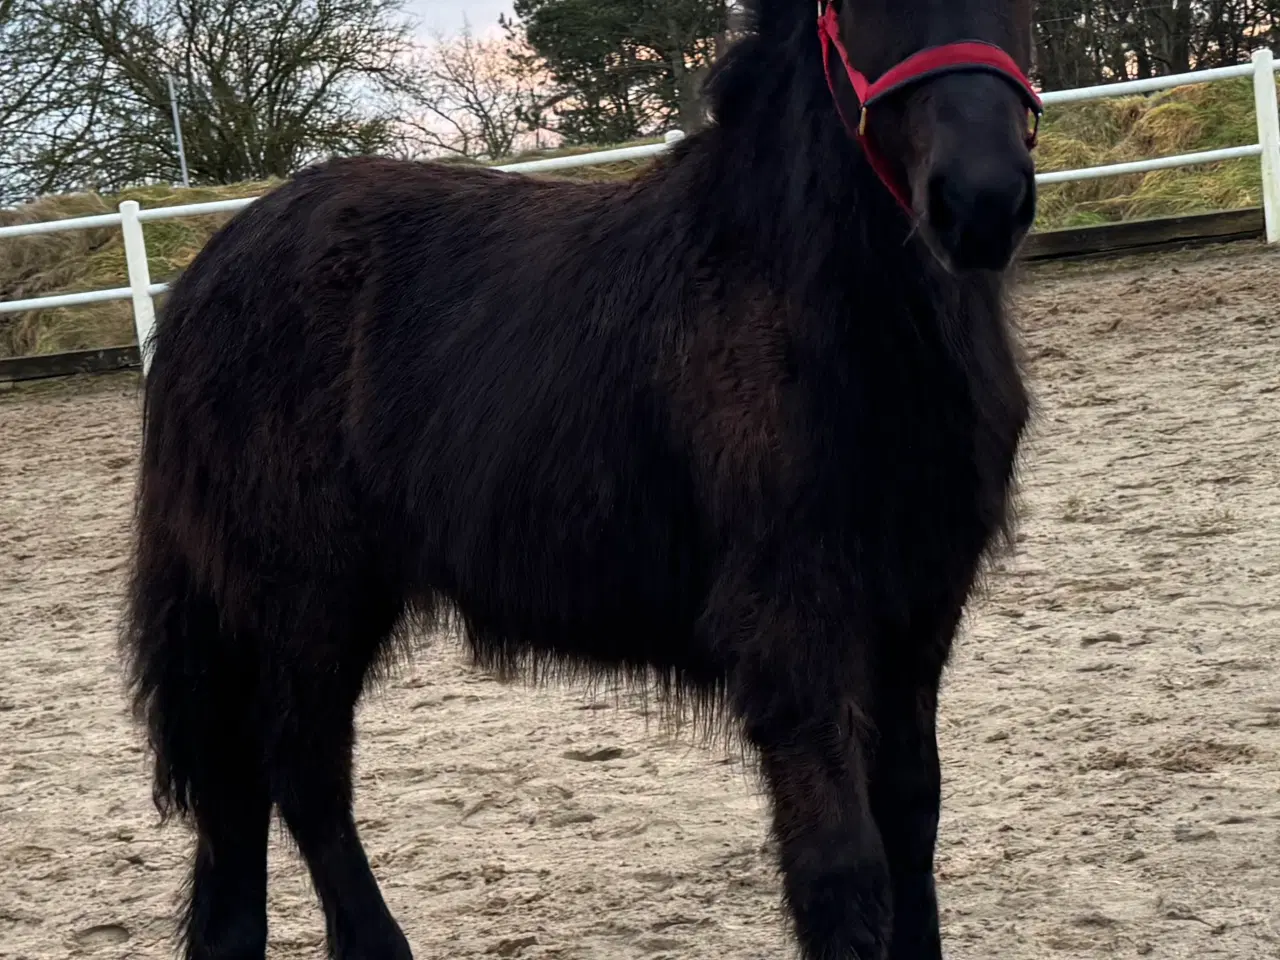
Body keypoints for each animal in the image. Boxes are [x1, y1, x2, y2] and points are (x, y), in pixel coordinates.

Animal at [122, 0, 1039, 957]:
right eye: (853, 11)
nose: (981, 203)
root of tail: (212, 267)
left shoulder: (919, 612)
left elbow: (911, 819)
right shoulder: (793, 627)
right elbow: (840, 867)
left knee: (238, 788)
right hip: (306, 598)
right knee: (301, 775)